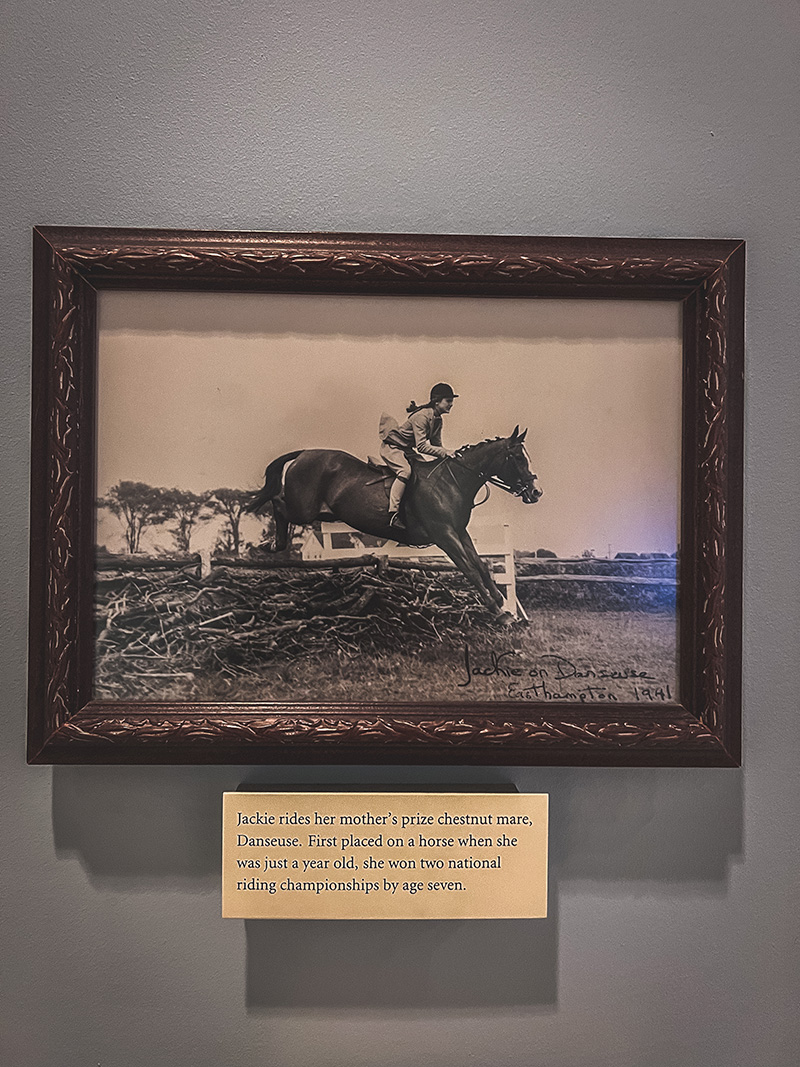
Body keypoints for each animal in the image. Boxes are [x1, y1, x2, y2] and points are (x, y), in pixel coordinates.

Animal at [247, 426, 541, 623]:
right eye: (517, 458)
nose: (536, 492)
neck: (453, 482)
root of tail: (305, 453)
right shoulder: (444, 534)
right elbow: (468, 569)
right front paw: (498, 611)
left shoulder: (459, 531)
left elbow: (480, 565)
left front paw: (501, 601)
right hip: (303, 509)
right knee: (277, 501)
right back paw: (271, 544)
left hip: (319, 513)